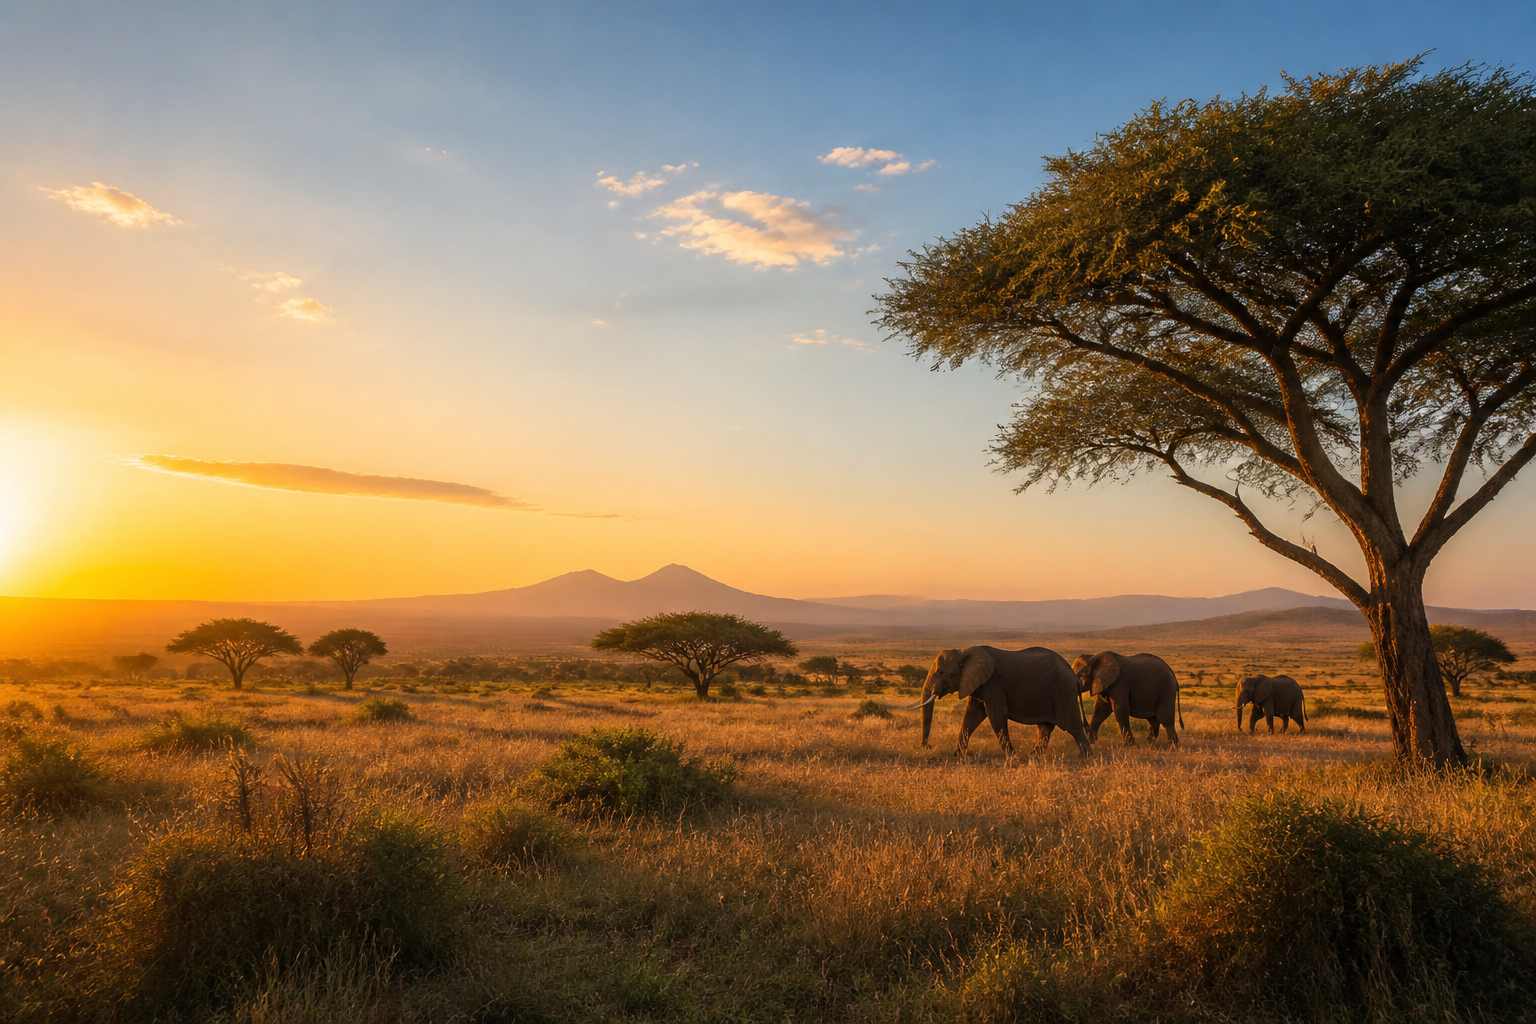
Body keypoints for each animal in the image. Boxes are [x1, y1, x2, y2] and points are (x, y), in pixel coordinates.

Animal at [909, 646, 1091, 758]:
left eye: (942, 673)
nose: (927, 746)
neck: (962, 651)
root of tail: (1074, 675)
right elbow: (971, 717)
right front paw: (958, 755)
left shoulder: (994, 683)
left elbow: (996, 716)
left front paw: (1013, 758)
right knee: (1044, 727)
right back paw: (1034, 756)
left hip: (1062, 692)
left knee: (1072, 726)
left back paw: (1086, 757)